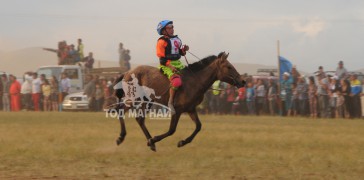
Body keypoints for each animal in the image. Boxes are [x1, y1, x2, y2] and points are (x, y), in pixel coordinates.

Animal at [106, 52, 246, 152]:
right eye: (228, 66)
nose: (243, 81)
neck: (195, 81)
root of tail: (127, 73)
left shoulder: (190, 109)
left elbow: (198, 126)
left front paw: (182, 142)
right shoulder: (177, 110)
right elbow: (172, 130)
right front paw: (154, 140)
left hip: (146, 101)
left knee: (139, 119)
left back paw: (149, 144)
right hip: (133, 99)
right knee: (120, 111)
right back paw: (122, 137)